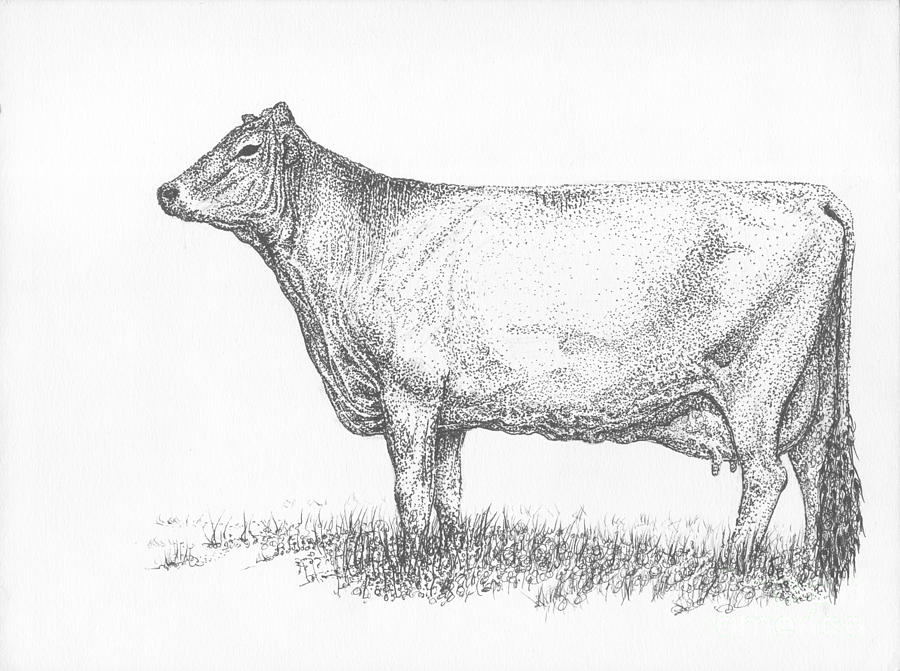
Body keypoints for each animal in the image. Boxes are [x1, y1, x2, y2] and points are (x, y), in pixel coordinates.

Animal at [158, 102, 861, 594]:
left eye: (246, 148)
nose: (167, 191)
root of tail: (808, 192)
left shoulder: (407, 392)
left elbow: (409, 486)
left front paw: (413, 565)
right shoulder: (445, 412)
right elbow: (445, 488)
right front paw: (447, 557)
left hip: (756, 387)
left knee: (767, 475)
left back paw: (730, 567)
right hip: (807, 390)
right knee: (815, 469)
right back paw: (817, 568)